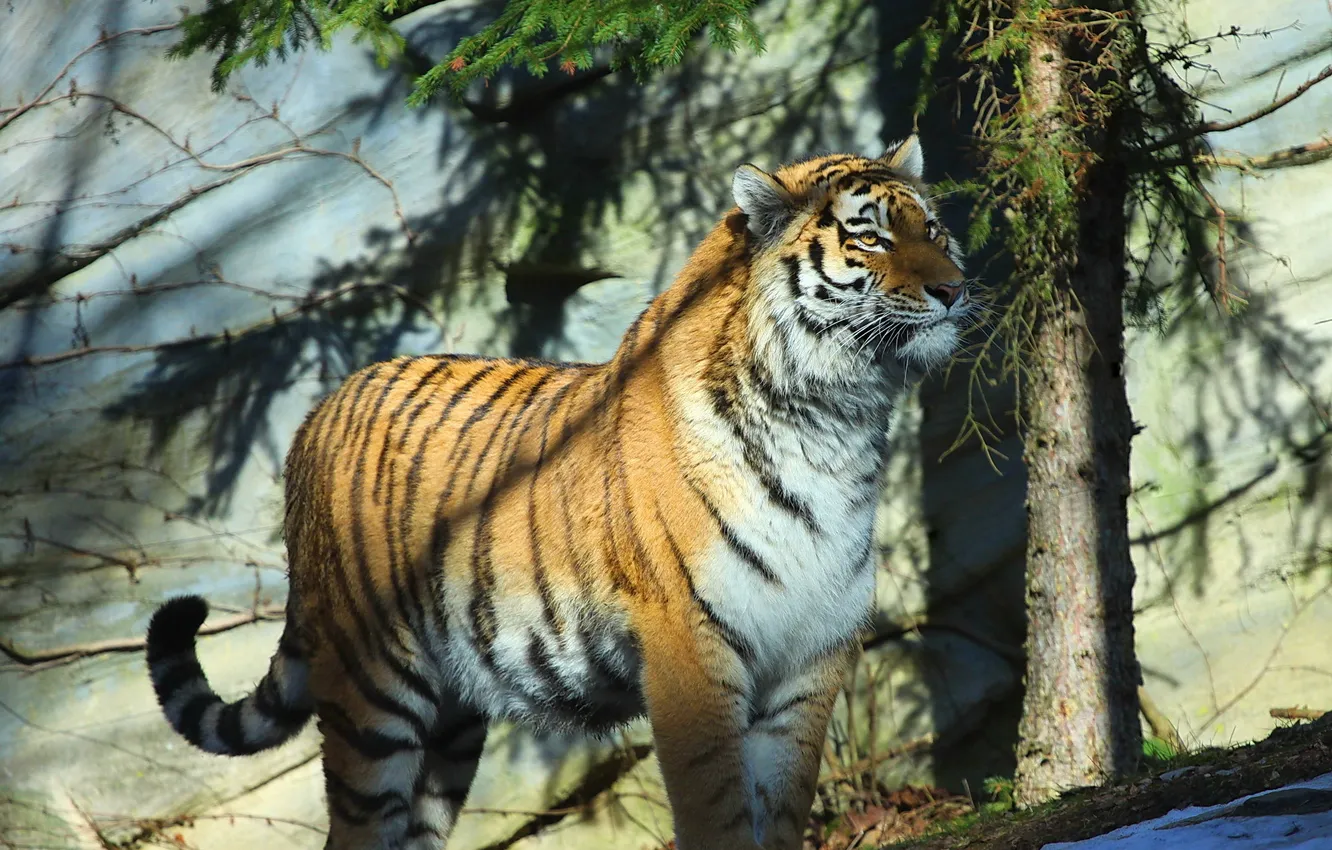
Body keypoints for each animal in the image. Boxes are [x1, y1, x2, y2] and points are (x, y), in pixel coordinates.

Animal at [145, 134, 971, 850]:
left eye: (933, 227)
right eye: (871, 238)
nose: (955, 290)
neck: (834, 425)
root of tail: (318, 414)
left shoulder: (811, 659)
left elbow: (783, 811)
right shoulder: (690, 650)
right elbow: (717, 811)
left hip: (452, 727)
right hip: (372, 690)